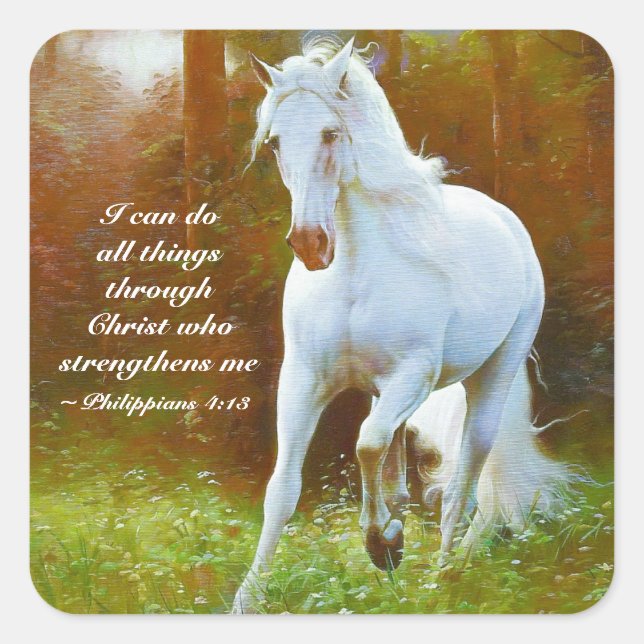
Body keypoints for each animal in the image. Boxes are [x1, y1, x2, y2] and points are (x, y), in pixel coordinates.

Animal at [232, 35, 567, 613]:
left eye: (331, 133)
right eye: (274, 143)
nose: (310, 245)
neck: (355, 274)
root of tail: (506, 219)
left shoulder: (413, 376)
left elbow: (365, 445)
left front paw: (383, 543)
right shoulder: (303, 381)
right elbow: (284, 488)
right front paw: (247, 599)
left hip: (491, 378)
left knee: (466, 479)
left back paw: (444, 576)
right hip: (379, 393)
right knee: (404, 476)